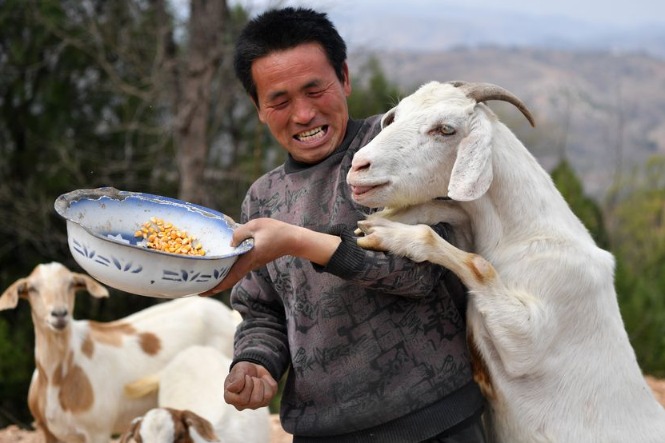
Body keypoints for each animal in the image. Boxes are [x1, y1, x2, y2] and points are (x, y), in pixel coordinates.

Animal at [0, 262, 240, 443]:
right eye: (32, 288)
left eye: (71, 285)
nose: (59, 314)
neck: (60, 378)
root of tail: (228, 315)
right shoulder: (48, 432)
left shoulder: (98, 431)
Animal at [346, 81, 665, 443]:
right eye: (395, 116)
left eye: (446, 129)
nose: (359, 167)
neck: (524, 237)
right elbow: (449, 210)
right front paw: (380, 221)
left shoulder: (528, 337)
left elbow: (478, 264)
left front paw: (387, 233)